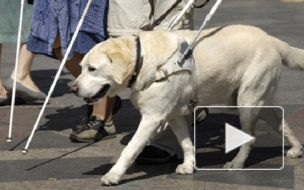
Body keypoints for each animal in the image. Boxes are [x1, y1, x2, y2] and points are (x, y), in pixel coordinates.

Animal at [72, 24, 304, 185]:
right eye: (81, 67)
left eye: (92, 69)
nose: (73, 88)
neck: (144, 60)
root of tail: (273, 40)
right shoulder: (174, 115)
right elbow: (185, 143)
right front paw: (189, 165)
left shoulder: (152, 118)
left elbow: (129, 149)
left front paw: (113, 175)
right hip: (258, 101)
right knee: (282, 122)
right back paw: (296, 149)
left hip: (247, 100)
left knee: (251, 138)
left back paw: (237, 163)